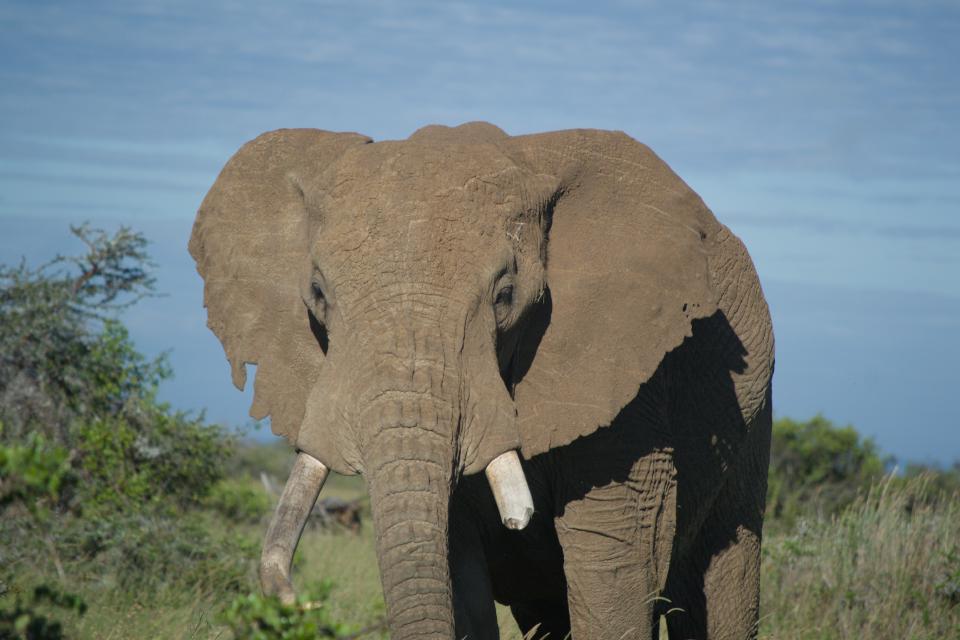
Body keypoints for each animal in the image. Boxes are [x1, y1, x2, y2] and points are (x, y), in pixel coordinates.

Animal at [189, 122, 774, 640]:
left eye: (505, 295)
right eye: (316, 293)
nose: (290, 595)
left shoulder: (635, 383)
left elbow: (614, 554)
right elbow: (457, 565)